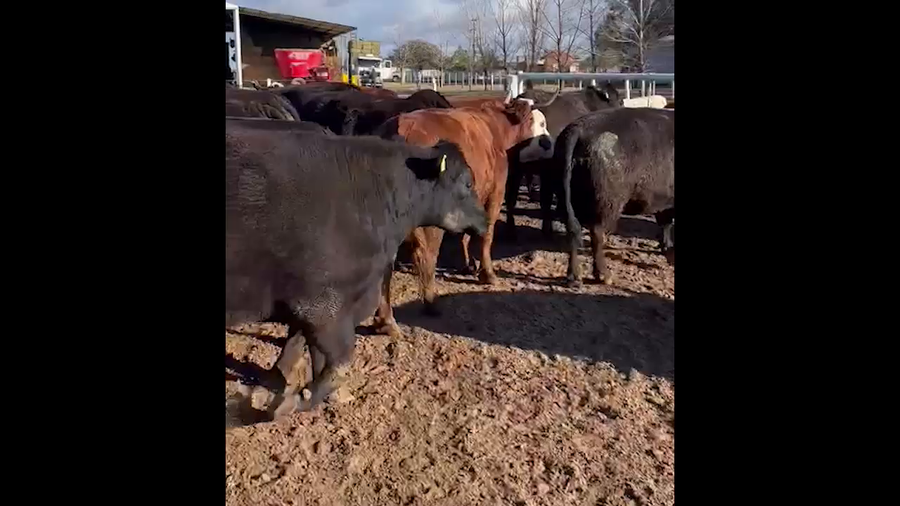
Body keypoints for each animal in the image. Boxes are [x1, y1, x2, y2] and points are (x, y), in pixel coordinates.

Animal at [226, 123, 488, 420]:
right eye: (467, 183)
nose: (485, 220)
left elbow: (299, 345)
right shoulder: (322, 303)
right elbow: (338, 361)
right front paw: (298, 398)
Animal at [370, 96, 556, 337]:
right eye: (540, 124)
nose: (550, 143)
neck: (496, 127)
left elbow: (466, 235)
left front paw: (468, 264)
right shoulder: (495, 193)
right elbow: (487, 235)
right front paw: (487, 273)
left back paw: (385, 321)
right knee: (426, 256)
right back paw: (430, 302)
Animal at [504, 83, 623, 238]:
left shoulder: (547, 172)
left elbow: (545, 201)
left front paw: (547, 229)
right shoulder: (515, 170)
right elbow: (511, 199)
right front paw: (510, 229)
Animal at [555, 107, 674, 286]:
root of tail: (578, 129)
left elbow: (665, 223)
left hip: (567, 201)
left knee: (573, 230)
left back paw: (574, 277)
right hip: (608, 204)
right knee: (597, 234)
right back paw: (604, 276)